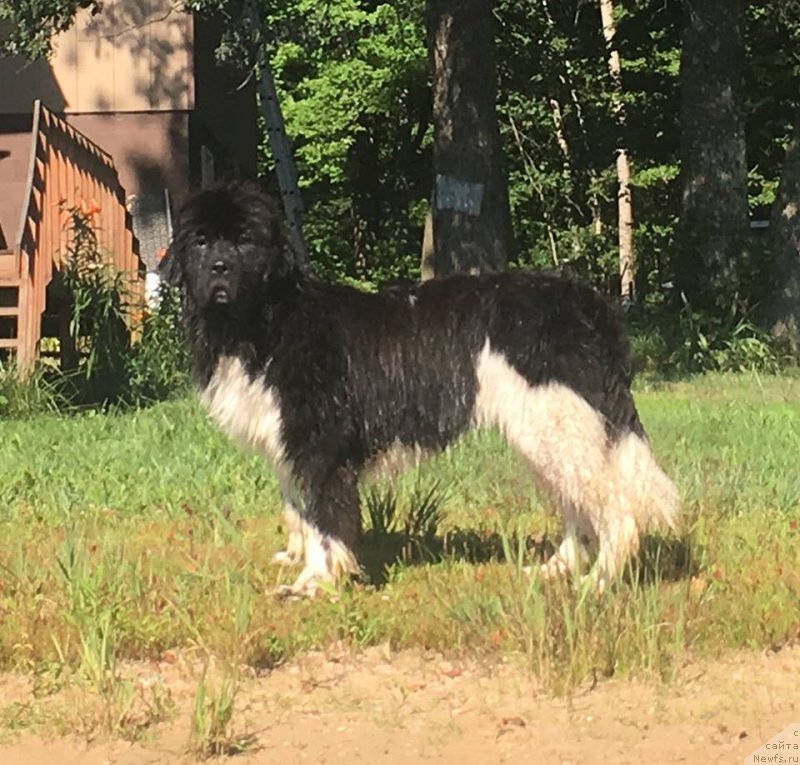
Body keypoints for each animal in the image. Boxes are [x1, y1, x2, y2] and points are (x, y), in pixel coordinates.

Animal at [161, 182, 676, 592]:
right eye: (202, 241)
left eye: (245, 241)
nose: (220, 268)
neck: (265, 319)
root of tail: (586, 301)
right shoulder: (287, 441)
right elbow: (299, 511)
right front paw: (300, 562)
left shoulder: (321, 443)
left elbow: (324, 519)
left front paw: (315, 582)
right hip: (551, 430)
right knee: (578, 506)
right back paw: (555, 570)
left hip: (558, 421)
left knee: (616, 511)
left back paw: (598, 582)